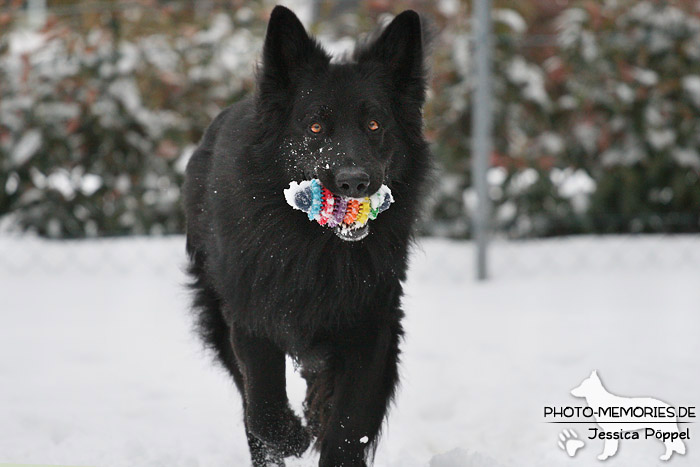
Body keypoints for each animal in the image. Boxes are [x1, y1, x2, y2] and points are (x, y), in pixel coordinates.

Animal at [183, 5, 430, 466]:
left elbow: (348, 428)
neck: (314, 250)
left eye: (374, 124)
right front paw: (291, 436)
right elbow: (262, 409)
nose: (354, 182)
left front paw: (322, 427)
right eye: (315, 127)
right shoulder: (249, 318)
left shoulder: (372, 327)